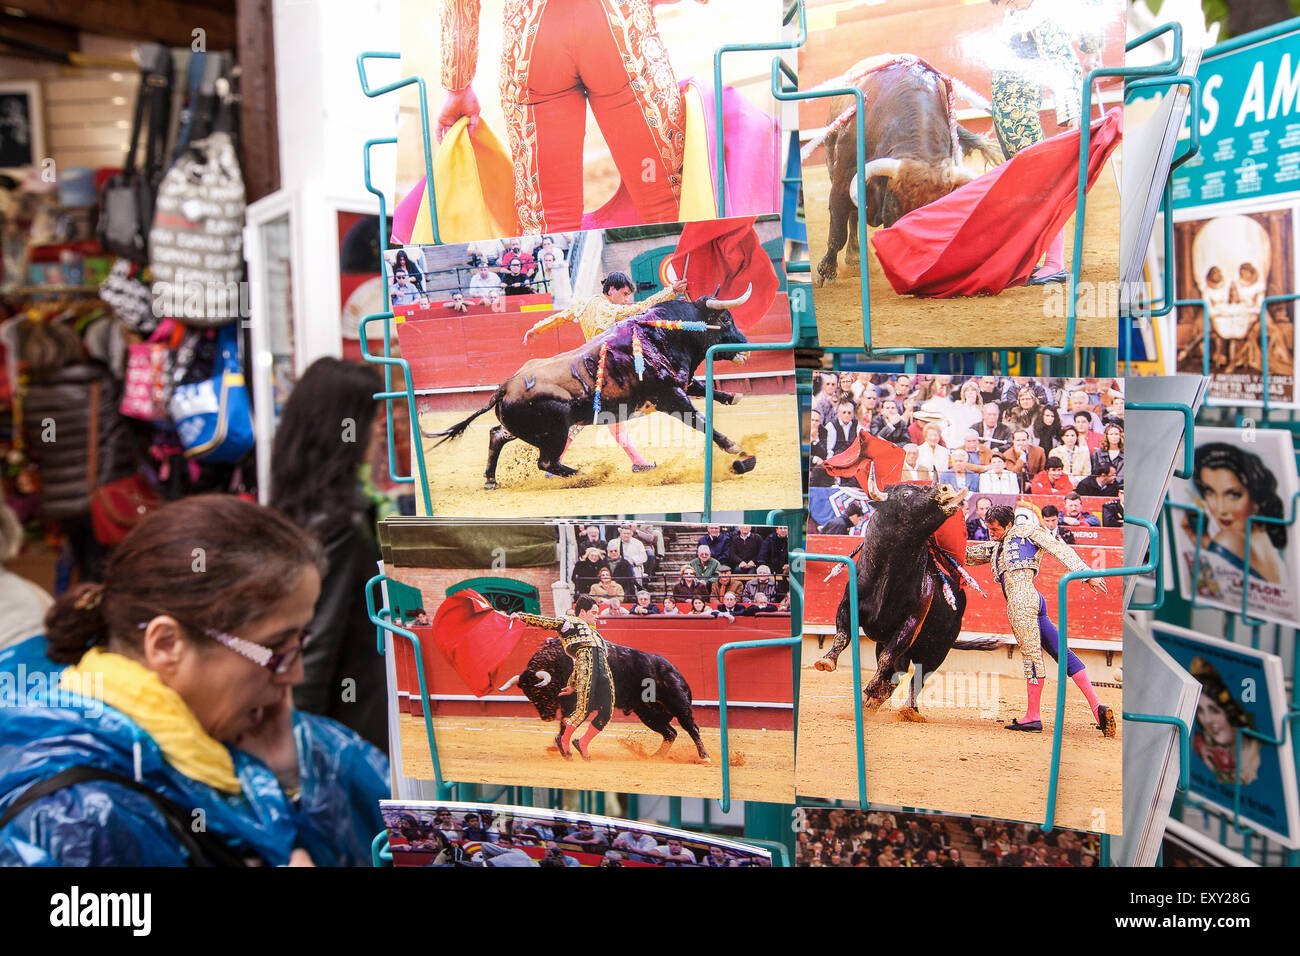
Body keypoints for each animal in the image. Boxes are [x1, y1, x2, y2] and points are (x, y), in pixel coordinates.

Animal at [426, 291, 754, 489]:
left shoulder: (680, 382)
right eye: (725, 319)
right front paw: (739, 452)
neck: (659, 333)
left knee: (497, 435)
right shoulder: (669, 396)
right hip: (555, 430)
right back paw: (585, 475)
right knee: (546, 460)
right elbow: (702, 422)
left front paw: (732, 396)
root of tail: (505, 386)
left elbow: (704, 388)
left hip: (526, 429)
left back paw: (491, 480)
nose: (747, 344)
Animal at [499, 639, 712, 759]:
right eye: (528, 695)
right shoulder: (570, 704)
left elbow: (566, 721)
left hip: (679, 706)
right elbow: (565, 723)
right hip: (648, 714)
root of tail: (675, 672)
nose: (545, 717)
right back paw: (656, 756)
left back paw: (704, 756)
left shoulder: (580, 702)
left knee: (692, 729)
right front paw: (558, 745)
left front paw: (562, 745)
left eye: (541, 692)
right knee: (670, 733)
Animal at [811, 478, 982, 717]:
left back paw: (909, 711)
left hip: (936, 652)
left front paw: (871, 687)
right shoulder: (846, 605)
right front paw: (827, 661)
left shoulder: (910, 624)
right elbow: (842, 636)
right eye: (906, 493)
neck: (887, 574)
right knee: (895, 676)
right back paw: (873, 700)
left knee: (916, 679)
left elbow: (888, 658)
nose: (946, 488)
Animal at [816, 57, 998, 283]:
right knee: (852, 215)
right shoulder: (844, 174)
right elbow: (838, 223)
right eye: (895, 206)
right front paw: (826, 271)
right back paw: (854, 256)